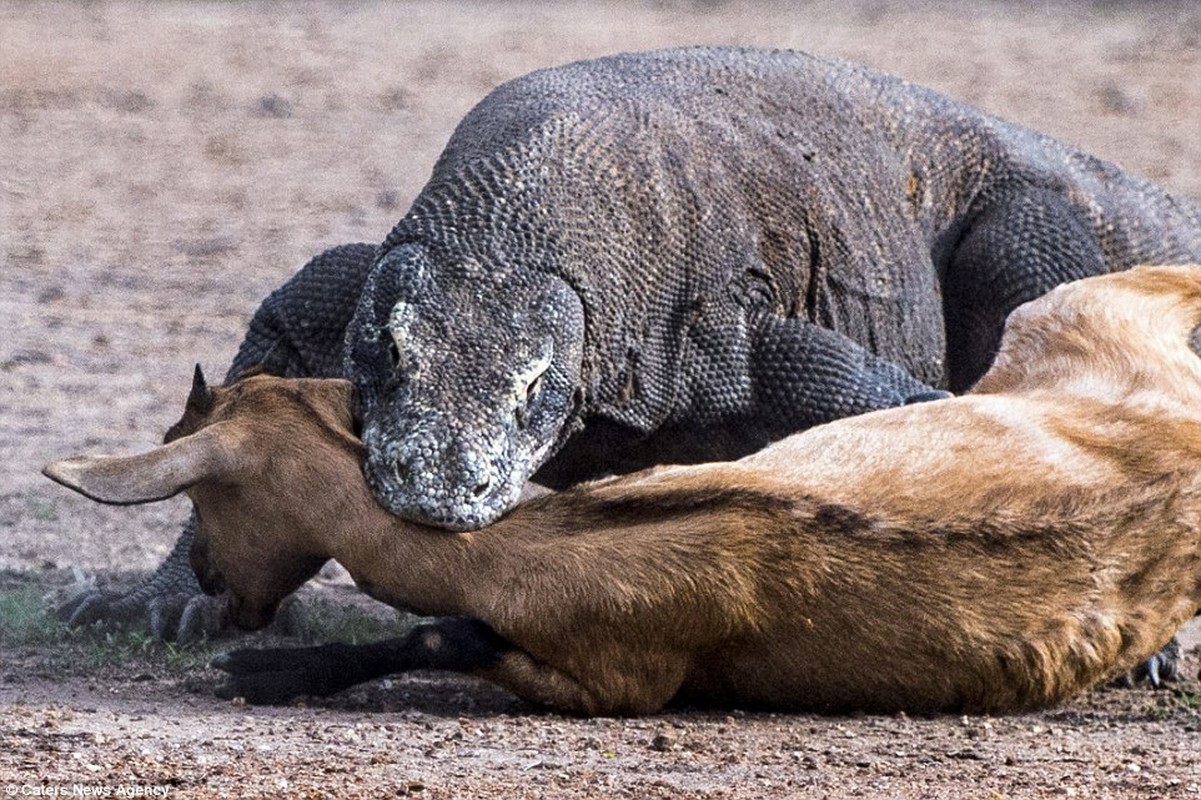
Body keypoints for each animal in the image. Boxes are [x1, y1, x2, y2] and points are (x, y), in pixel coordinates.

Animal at [44, 264, 1201, 711]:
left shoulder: (618, 680)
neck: (550, 545)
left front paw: (258, 674)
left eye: (204, 495)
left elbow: (443, 635)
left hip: (1066, 308)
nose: (209, 581)